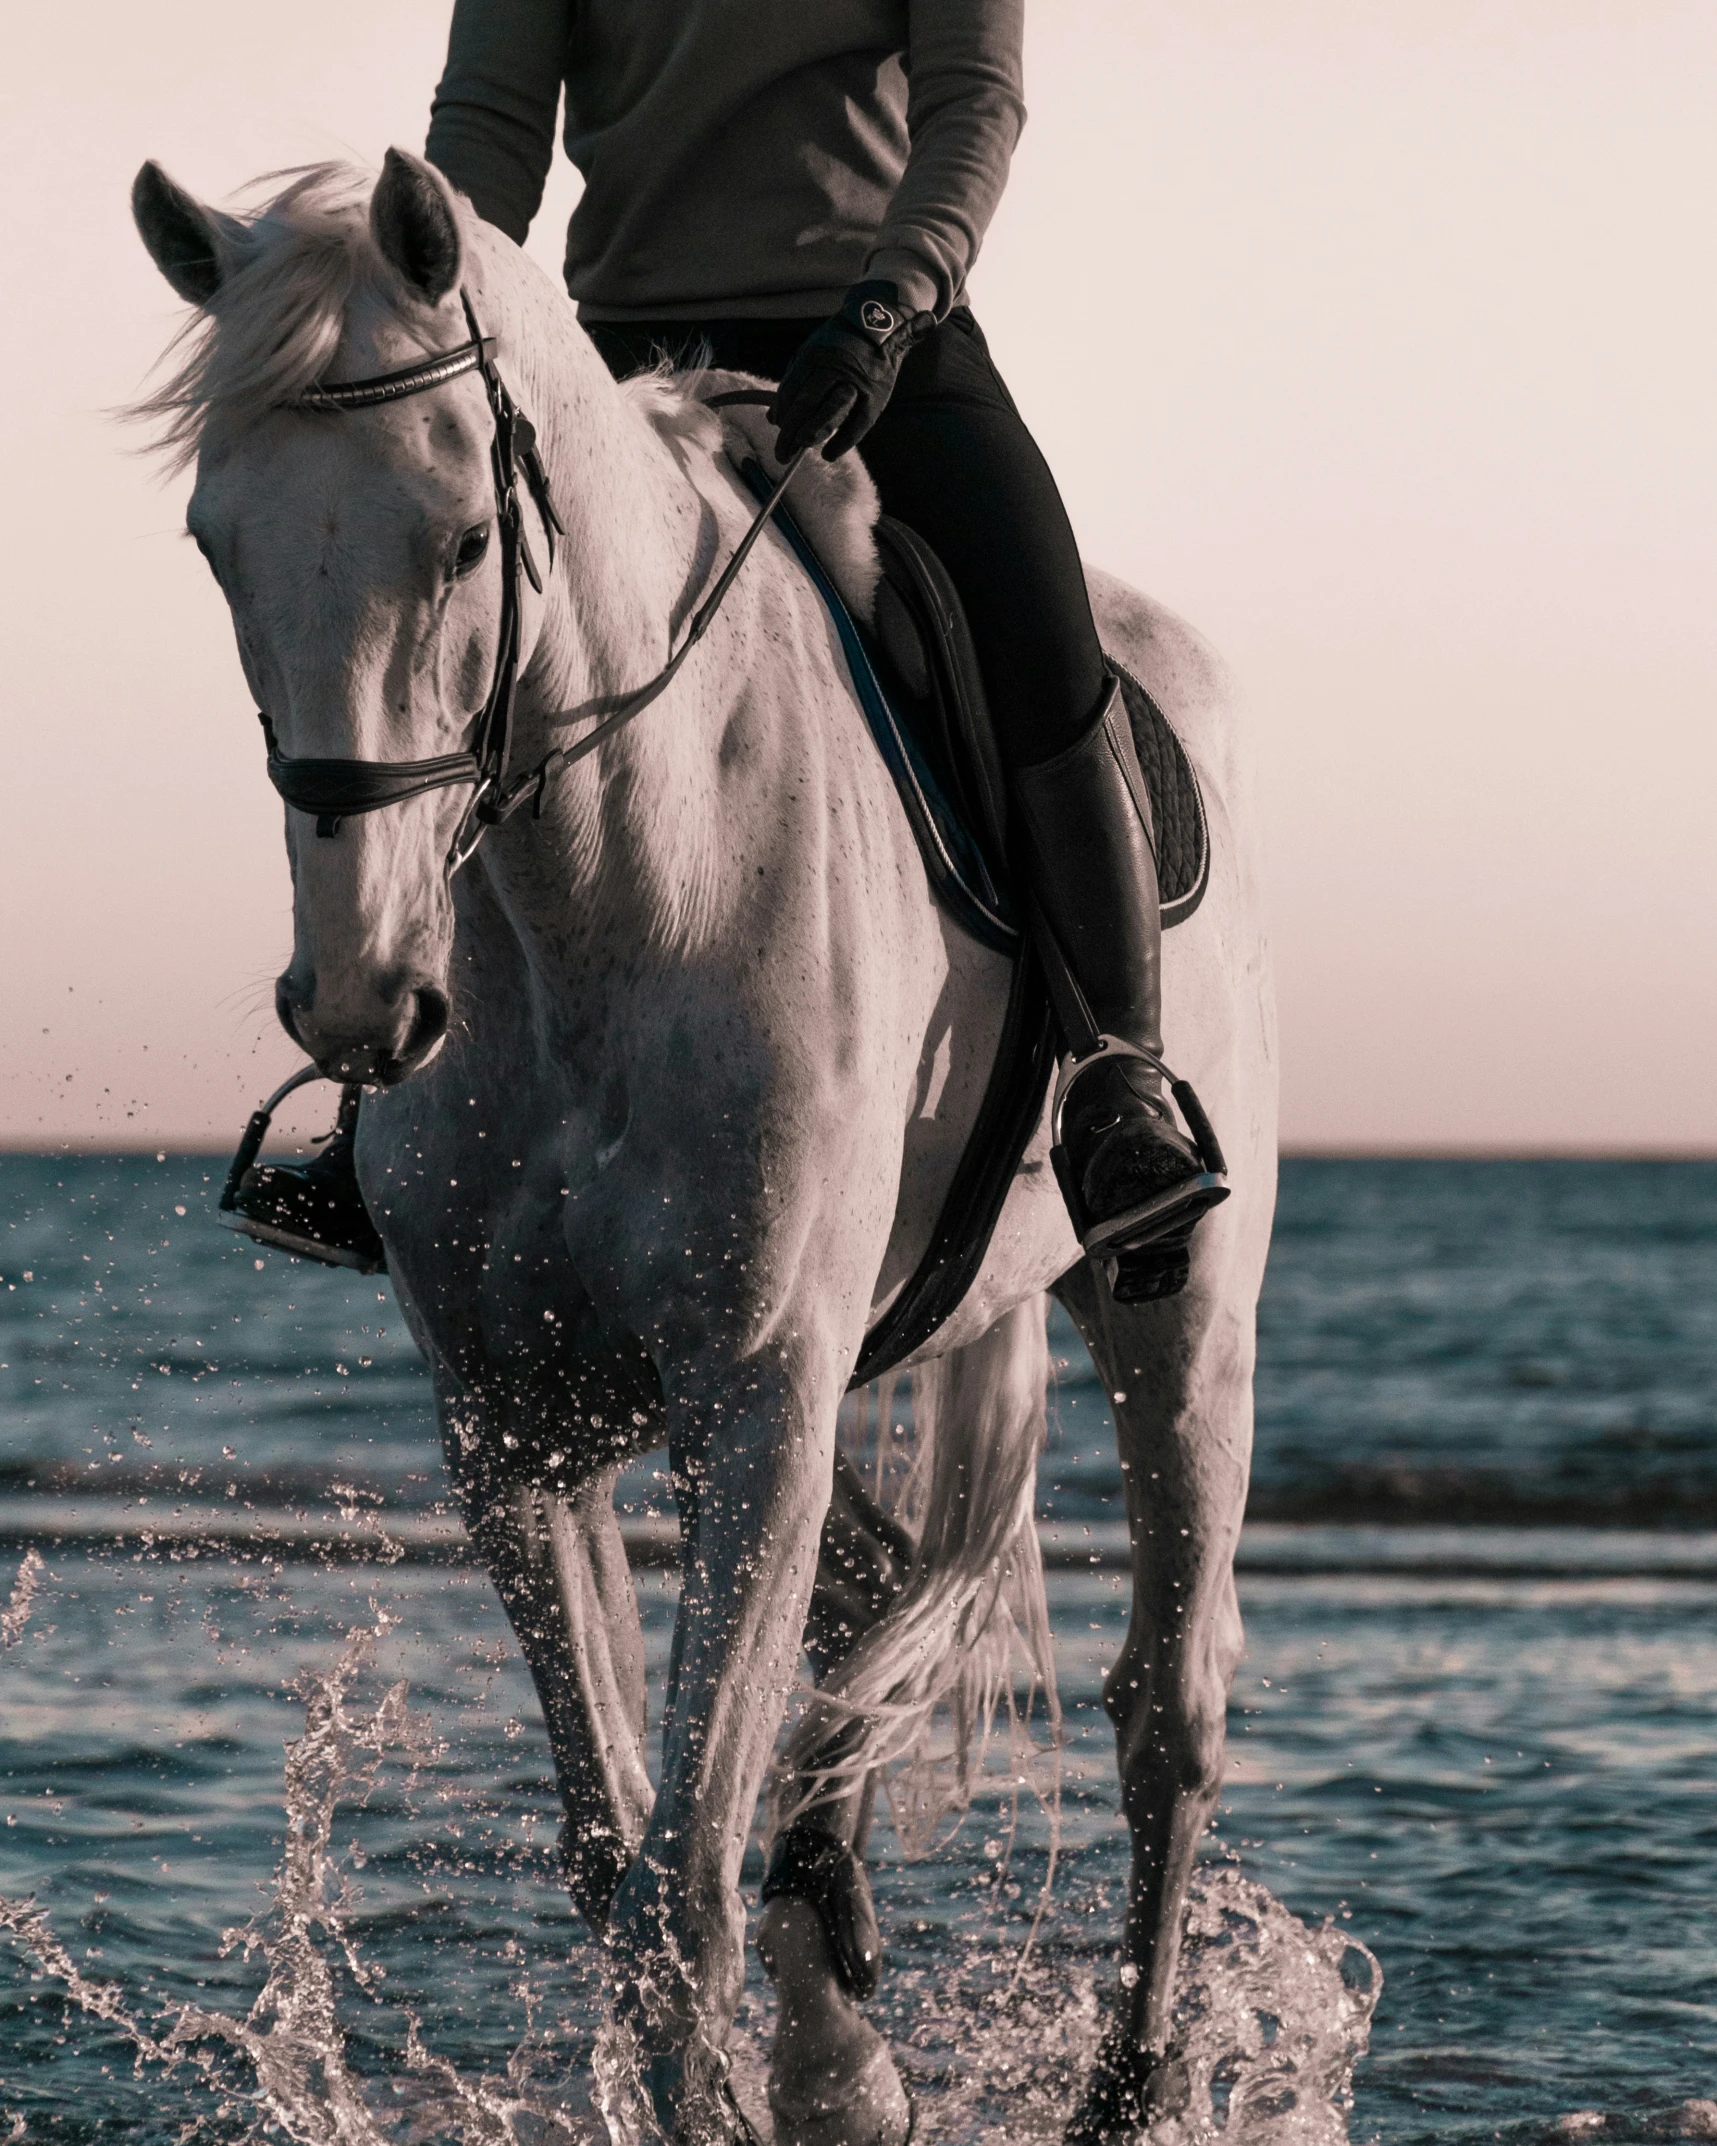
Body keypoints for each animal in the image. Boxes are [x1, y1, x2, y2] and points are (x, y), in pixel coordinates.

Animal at [134, 151, 1279, 2146]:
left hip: (1179, 1309)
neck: (610, 889)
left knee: (1168, 1711)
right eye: (219, 548)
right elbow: (618, 1861)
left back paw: (1121, 2087)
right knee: (881, 1616)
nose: (359, 1000)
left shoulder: (752, 1399)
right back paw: (845, 2049)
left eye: (461, 541)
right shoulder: (516, 1431)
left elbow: (678, 1873)